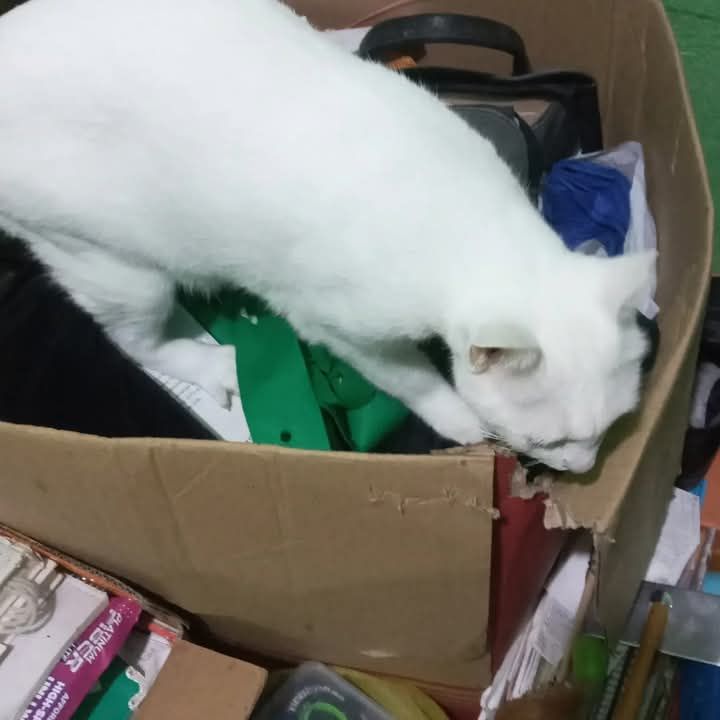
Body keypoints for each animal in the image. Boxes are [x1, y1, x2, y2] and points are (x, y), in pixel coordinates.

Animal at [0, 0, 654, 473]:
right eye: (549, 439)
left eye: (609, 428)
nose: (584, 468)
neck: (474, 226)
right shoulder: (337, 325)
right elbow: (411, 377)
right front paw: (461, 420)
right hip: (113, 263)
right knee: (134, 339)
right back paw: (217, 362)